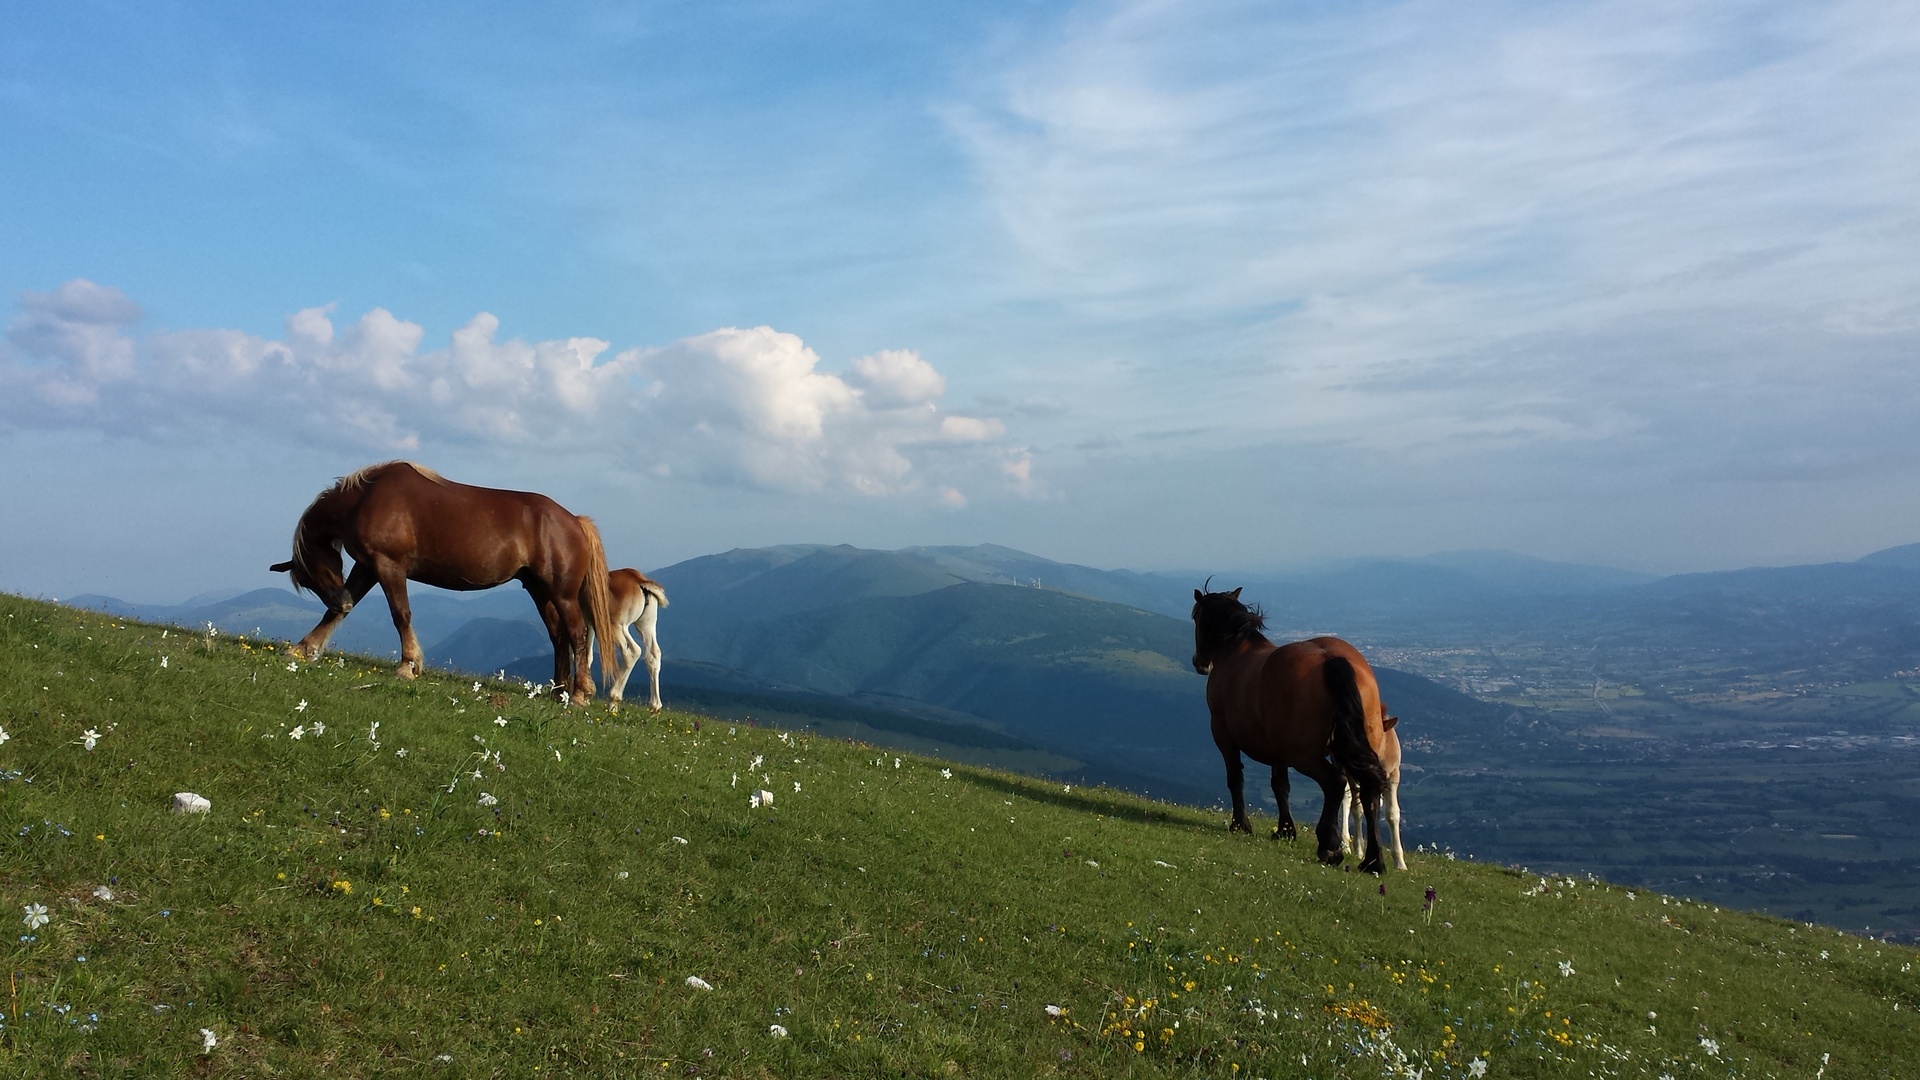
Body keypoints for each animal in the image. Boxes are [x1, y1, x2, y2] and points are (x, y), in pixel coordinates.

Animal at [266, 461, 614, 699]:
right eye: (307, 582)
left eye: (309, 573)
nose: (343, 602)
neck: (366, 498)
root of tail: (575, 521)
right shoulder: (367, 567)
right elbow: (332, 615)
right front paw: (302, 649)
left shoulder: (388, 565)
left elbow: (401, 614)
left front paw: (408, 665)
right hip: (539, 590)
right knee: (558, 636)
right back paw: (559, 691)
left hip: (562, 593)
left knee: (577, 634)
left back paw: (579, 694)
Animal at [1190, 584, 1390, 868]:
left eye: (1196, 617)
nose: (1200, 663)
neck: (1235, 651)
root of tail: (1330, 659)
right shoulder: (1277, 749)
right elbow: (1280, 785)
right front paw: (1285, 830)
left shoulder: (1223, 734)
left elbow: (1235, 777)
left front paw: (1241, 825)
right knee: (1370, 791)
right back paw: (1373, 861)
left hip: (1304, 756)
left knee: (1335, 783)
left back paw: (1329, 847)